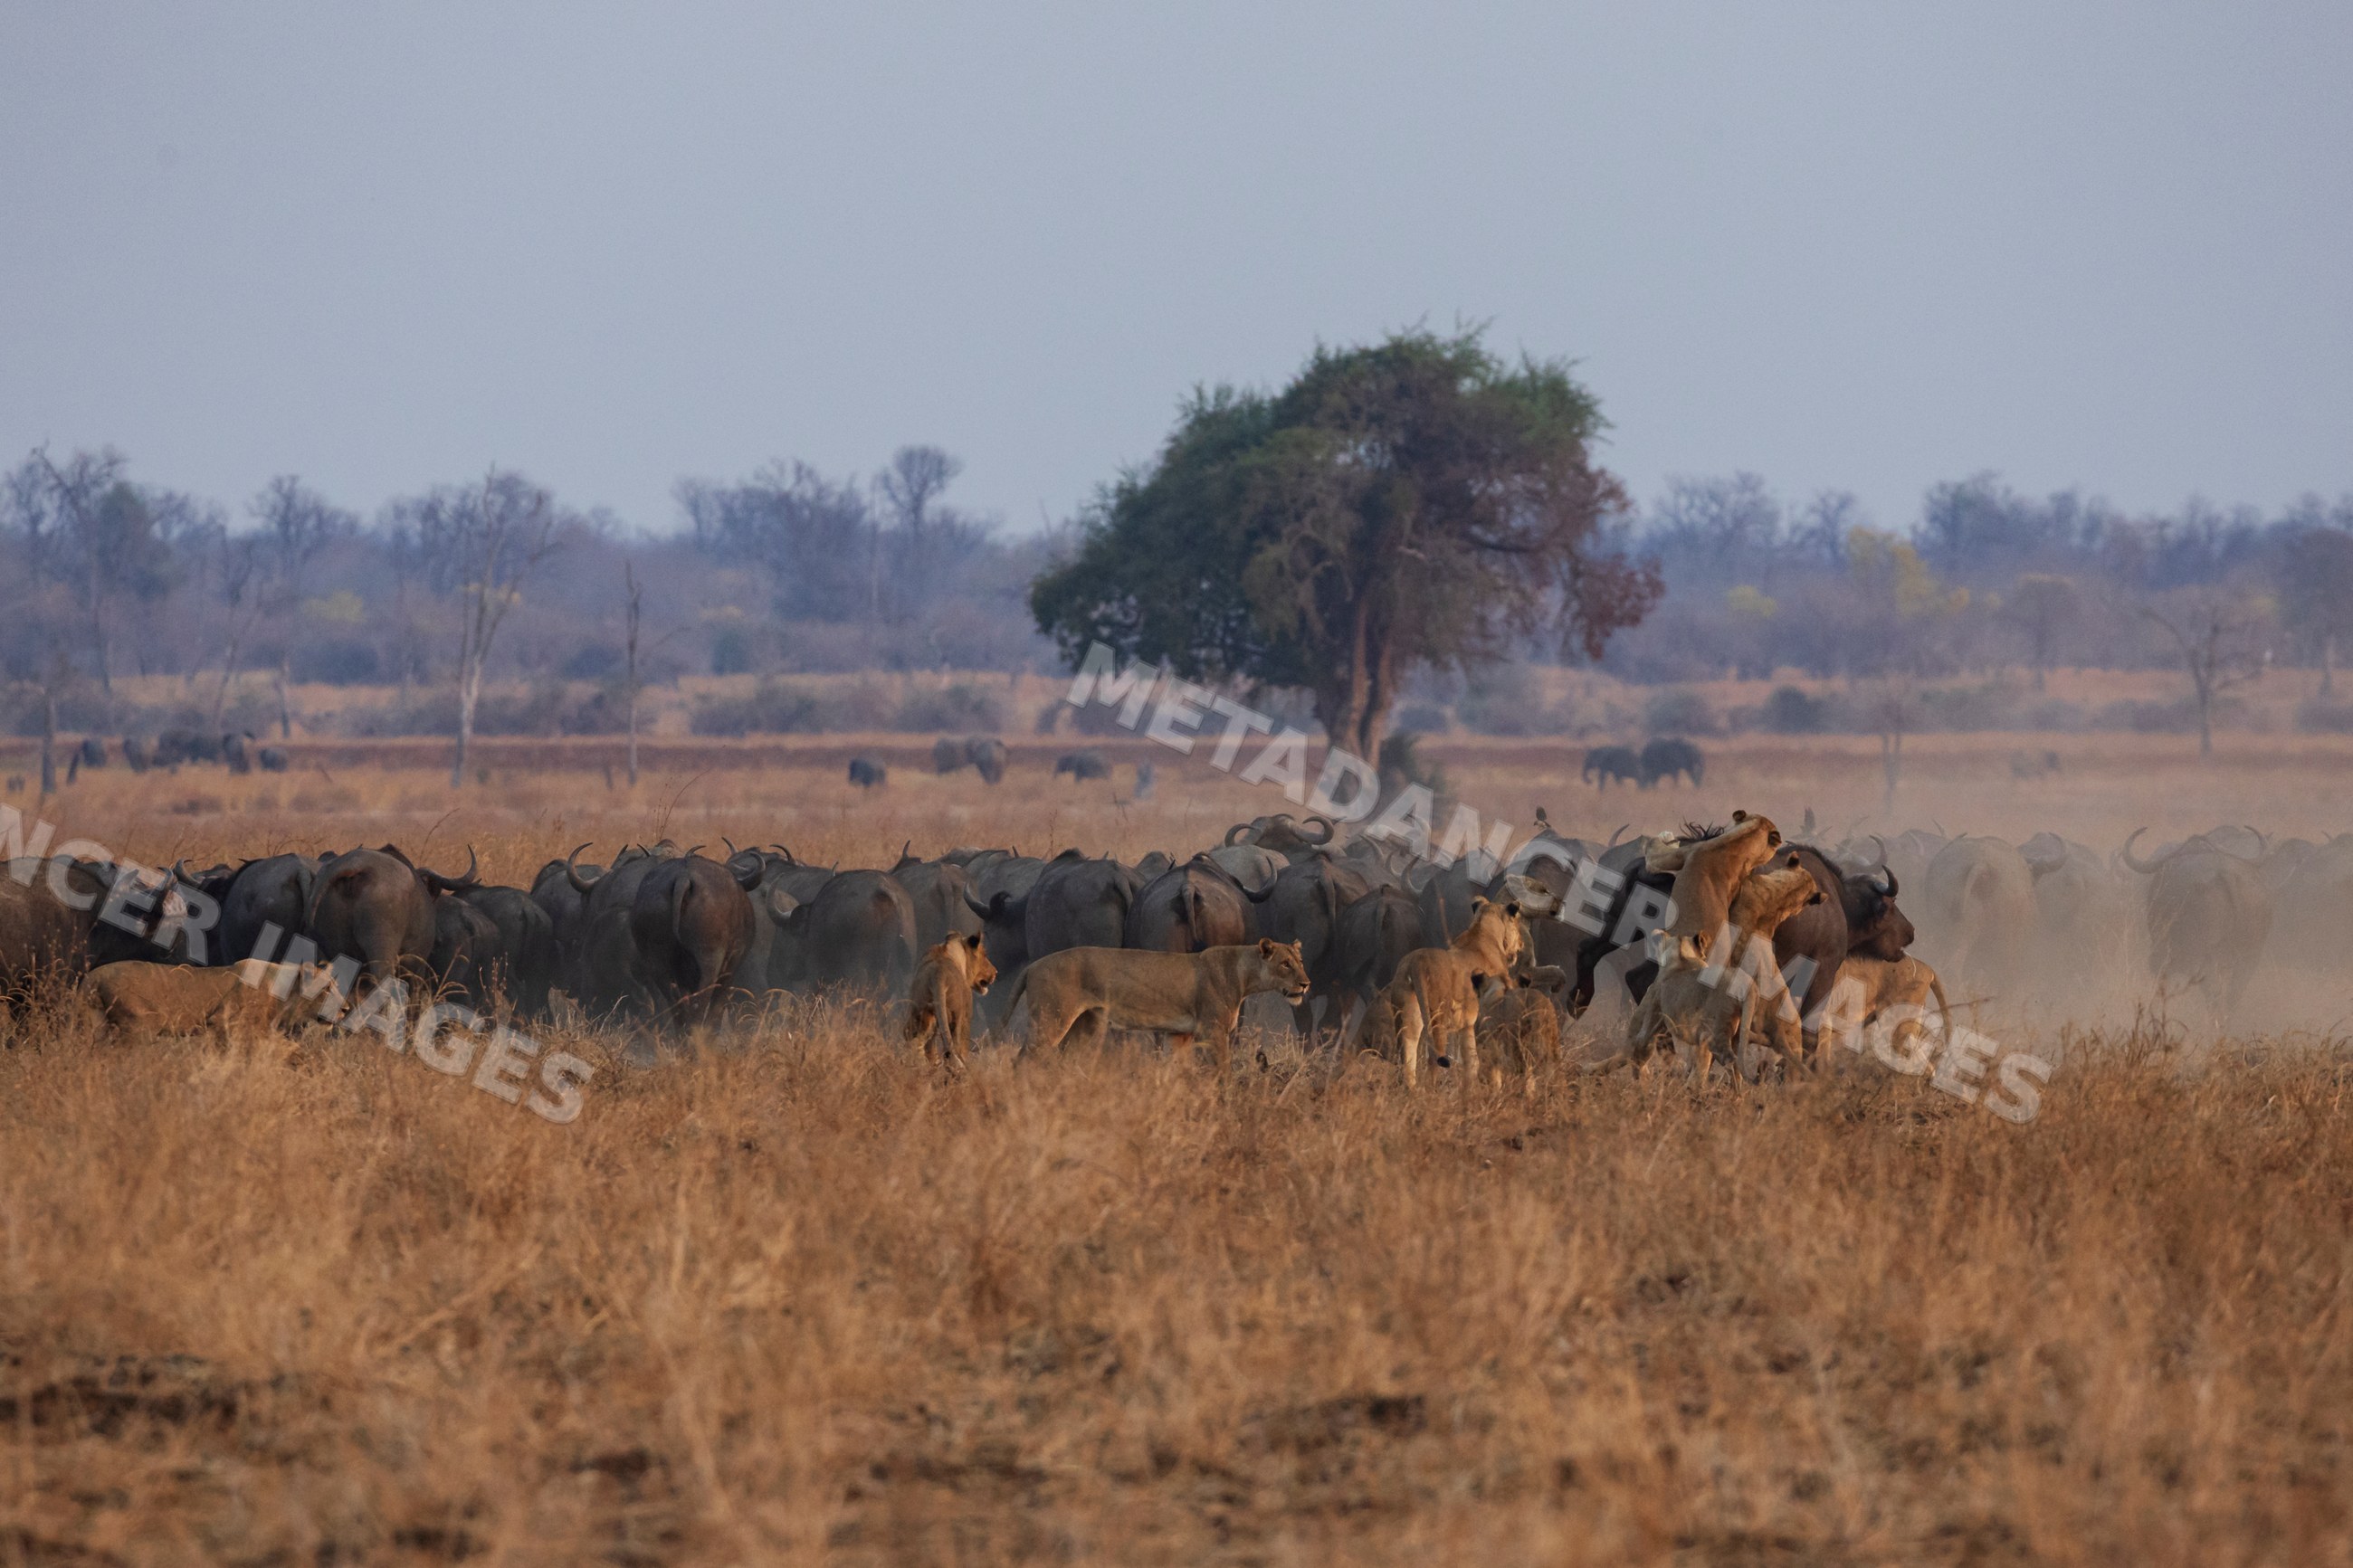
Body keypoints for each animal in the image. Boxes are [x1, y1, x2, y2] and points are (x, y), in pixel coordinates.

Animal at [904, 933, 997, 1071]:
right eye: (984, 955)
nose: (996, 972)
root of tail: (938, 974)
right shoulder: (965, 1016)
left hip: (918, 1012)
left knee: (918, 1042)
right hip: (955, 1017)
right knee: (955, 1047)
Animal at [993, 938, 1310, 1071]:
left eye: (1301, 962)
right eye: (1285, 964)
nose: (1306, 984)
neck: (1244, 973)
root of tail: (1033, 965)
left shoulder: (1180, 1033)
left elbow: (1180, 1070)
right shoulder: (1212, 1030)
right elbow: (1223, 1069)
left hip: (1085, 1024)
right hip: (1052, 1019)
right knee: (1022, 1059)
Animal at [1363, 897, 1526, 1090]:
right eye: (1517, 922)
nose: (1522, 944)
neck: (1483, 930)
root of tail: (1416, 961)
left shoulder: (1467, 1025)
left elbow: (1472, 1063)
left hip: (1407, 1016)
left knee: (1407, 1060)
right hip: (1438, 1016)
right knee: (1434, 1059)